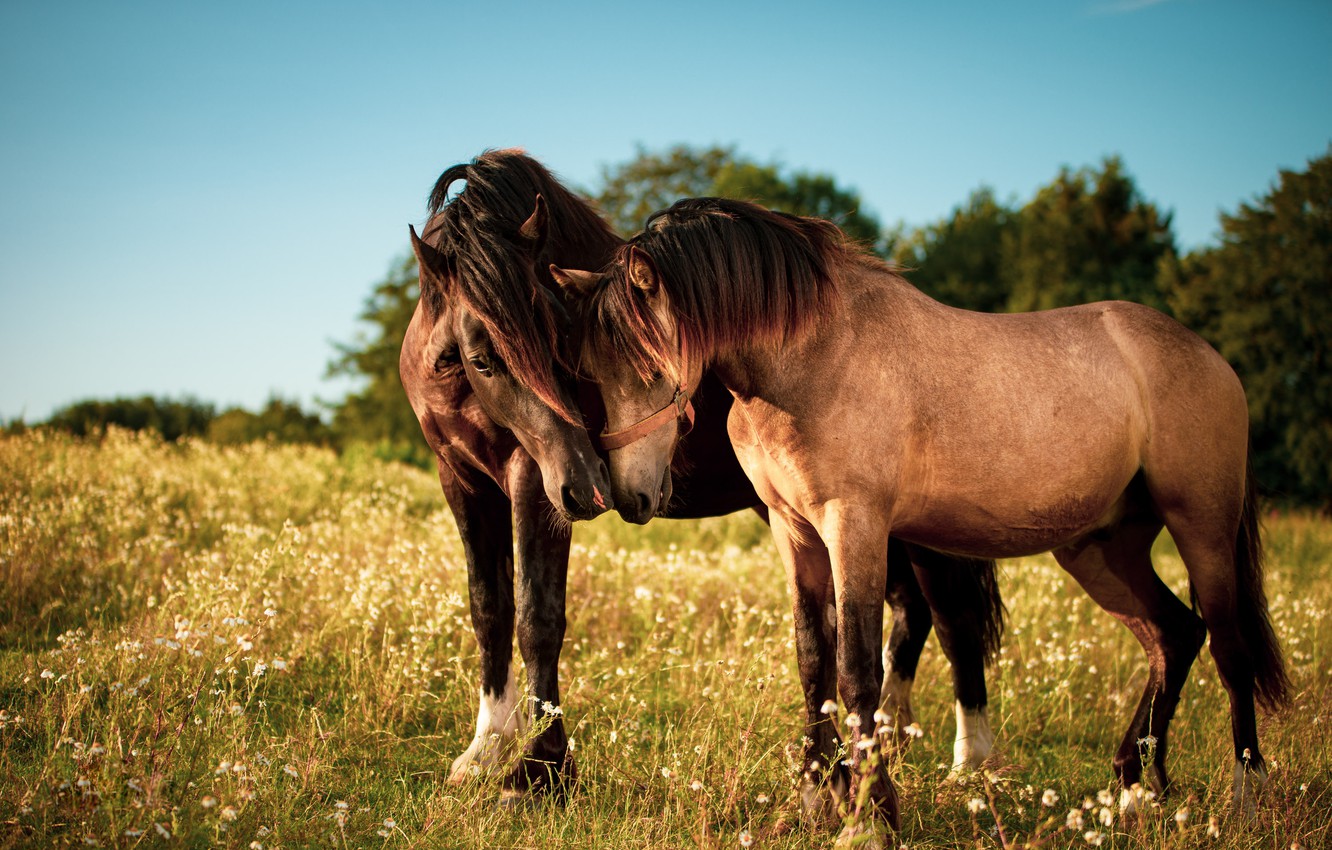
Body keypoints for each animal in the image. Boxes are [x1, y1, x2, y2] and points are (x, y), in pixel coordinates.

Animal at [400, 151, 1007, 805]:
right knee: (911, 615)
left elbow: (539, 617)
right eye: (483, 359)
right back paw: (892, 741)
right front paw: (486, 751)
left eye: (565, 349)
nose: (589, 487)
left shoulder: (533, 484)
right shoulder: (463, 483)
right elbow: (489, 610)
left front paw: (540, 769)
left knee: (953, 620)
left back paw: (970, 765)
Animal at [555, 196, 1290, 837]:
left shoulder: (854, 526)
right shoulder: (795, 533)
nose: (631, 496)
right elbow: (813, 662)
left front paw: (868, 815)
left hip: (1201, 527)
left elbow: (858, 669)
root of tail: (1209, 357)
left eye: (648, 361)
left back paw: (1246, 798)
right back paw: (1136, 786)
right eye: (590, 368)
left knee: (1228, 647)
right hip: (1101, 547)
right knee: (1173, 635)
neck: (815, 358)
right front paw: (813, 803)